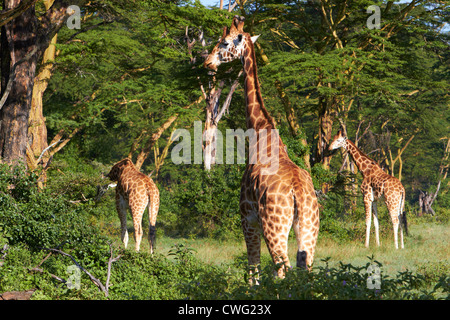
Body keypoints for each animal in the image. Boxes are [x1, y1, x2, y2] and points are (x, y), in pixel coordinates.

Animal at [204, 16, 320, 282]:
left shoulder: (247, 218)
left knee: (282, 269)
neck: (260, 135)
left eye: (224, 42)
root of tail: (299, 194)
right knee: (305, 268)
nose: (207, 62)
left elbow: (252, 269)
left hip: (273, 227)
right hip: (309, 228)